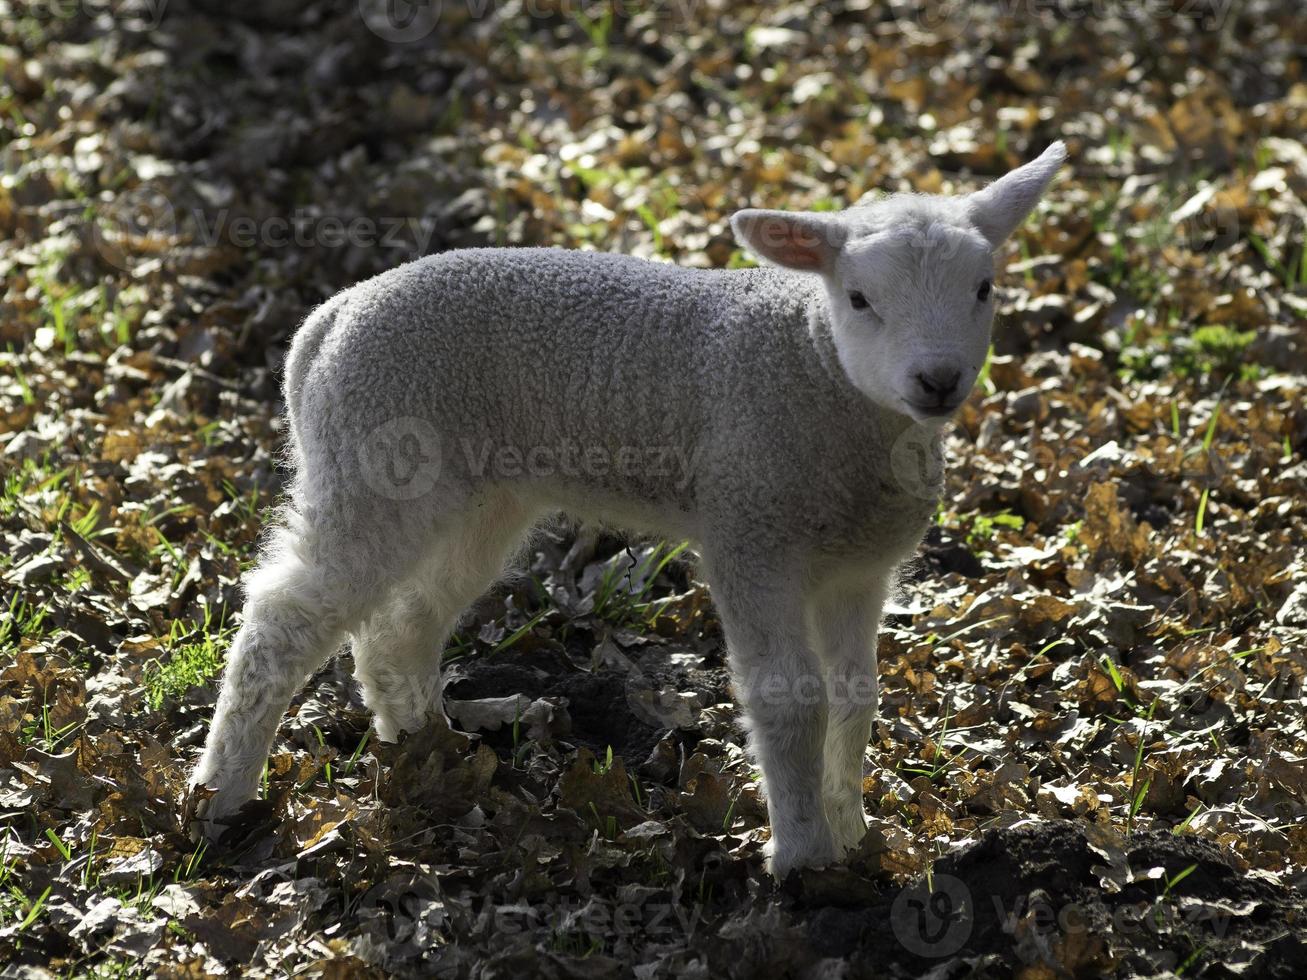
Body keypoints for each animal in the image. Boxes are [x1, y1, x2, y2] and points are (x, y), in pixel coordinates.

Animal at [189, 138, 1066, 872]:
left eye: (984, 289)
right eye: (857, 299)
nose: (936, 380)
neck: (817, 367)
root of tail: (325, 323)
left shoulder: (858, 565)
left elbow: (856, 696)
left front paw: (851, 831)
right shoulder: (749, 530)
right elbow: (790, 699)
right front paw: (804, 859)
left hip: (473, 494)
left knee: (401, 624)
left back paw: (426, 750)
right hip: (372, 455)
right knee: (285, 619)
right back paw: (222, 796)